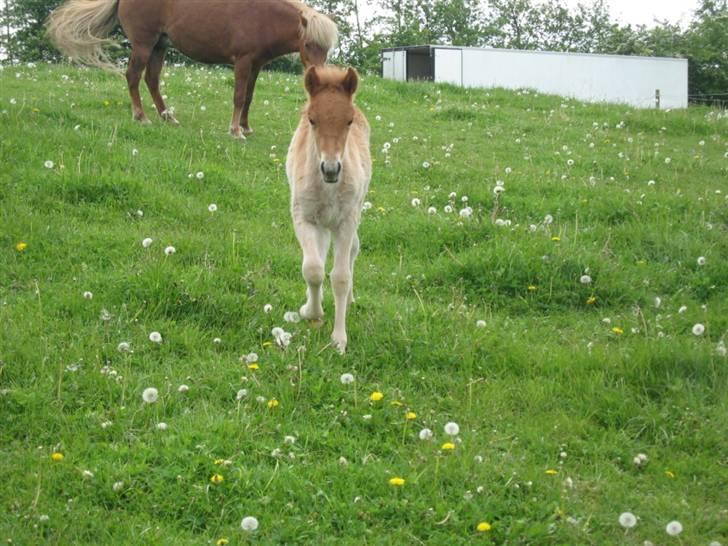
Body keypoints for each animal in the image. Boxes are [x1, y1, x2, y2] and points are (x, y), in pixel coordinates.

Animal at [47, 0, 336, 137]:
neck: (265, 16)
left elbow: (249, 98)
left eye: (326, 48)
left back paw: (168, 117)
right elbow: (239, 96)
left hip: (160, 46)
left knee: (152, 79)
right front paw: (235, 131)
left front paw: (245, 127)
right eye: (308, 44)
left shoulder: (256, 65)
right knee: (133, 76)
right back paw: (141, 116)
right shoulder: (243, 61)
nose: (319, 76)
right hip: (144, 44)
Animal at [286, 65, 370, 352]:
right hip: (321, 222)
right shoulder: (304, 218)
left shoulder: (346, 221)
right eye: (312, 120)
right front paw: (311, 312)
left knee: (353, 250)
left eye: (349, 121)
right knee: (319, 256)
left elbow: (341, 277)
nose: (331, 169)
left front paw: (339, 339)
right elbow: (312, 269)